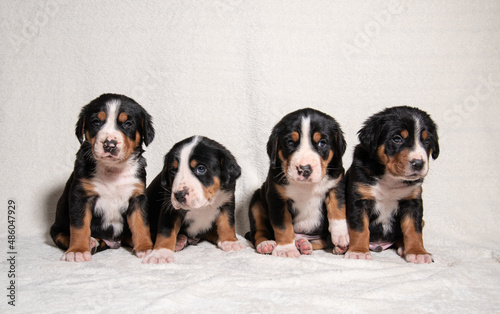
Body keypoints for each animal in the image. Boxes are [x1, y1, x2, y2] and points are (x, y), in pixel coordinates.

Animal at [50, 94, 154, 262]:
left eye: (127, 124)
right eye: (96, 122)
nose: (109, 144)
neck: (112, 170)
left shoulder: (137, 197)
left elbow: (141, 224)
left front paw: (145, 247)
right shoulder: (81, 195)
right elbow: (79, 226)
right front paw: (78, 250)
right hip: (56, 228)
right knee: (64, 236)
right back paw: (91, 242)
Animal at [143, 136, 244, 264]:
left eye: (201, 169)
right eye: (173, 170)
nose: (179, 195)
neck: (203, 205)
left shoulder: (227, 200)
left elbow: (227, 222)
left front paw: (230, 241)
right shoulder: (170, 207)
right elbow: (166, 231)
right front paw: (161, 253)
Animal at [245, 108, 348, 258]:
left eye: (322, 143)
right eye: (290, 142)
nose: (304, 169)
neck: (306, 186)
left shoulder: (336, 183)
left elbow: (337, 209)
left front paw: (341, 235)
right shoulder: (277, 198)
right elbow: (283, 227)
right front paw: (286, 249)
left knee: (321, 241)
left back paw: (307, 244)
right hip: (256, 202)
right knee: (259, 231)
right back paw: (266, 244)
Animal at [346, 106, 440, 264]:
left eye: (427, 141)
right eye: (397, 139)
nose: (418, 163)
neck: (391, 180)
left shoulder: (412, 202)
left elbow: (414, 230)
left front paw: (418, 252)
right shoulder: (360, 199)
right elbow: (360, 229)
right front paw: (358, 251)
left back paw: (403, 248)